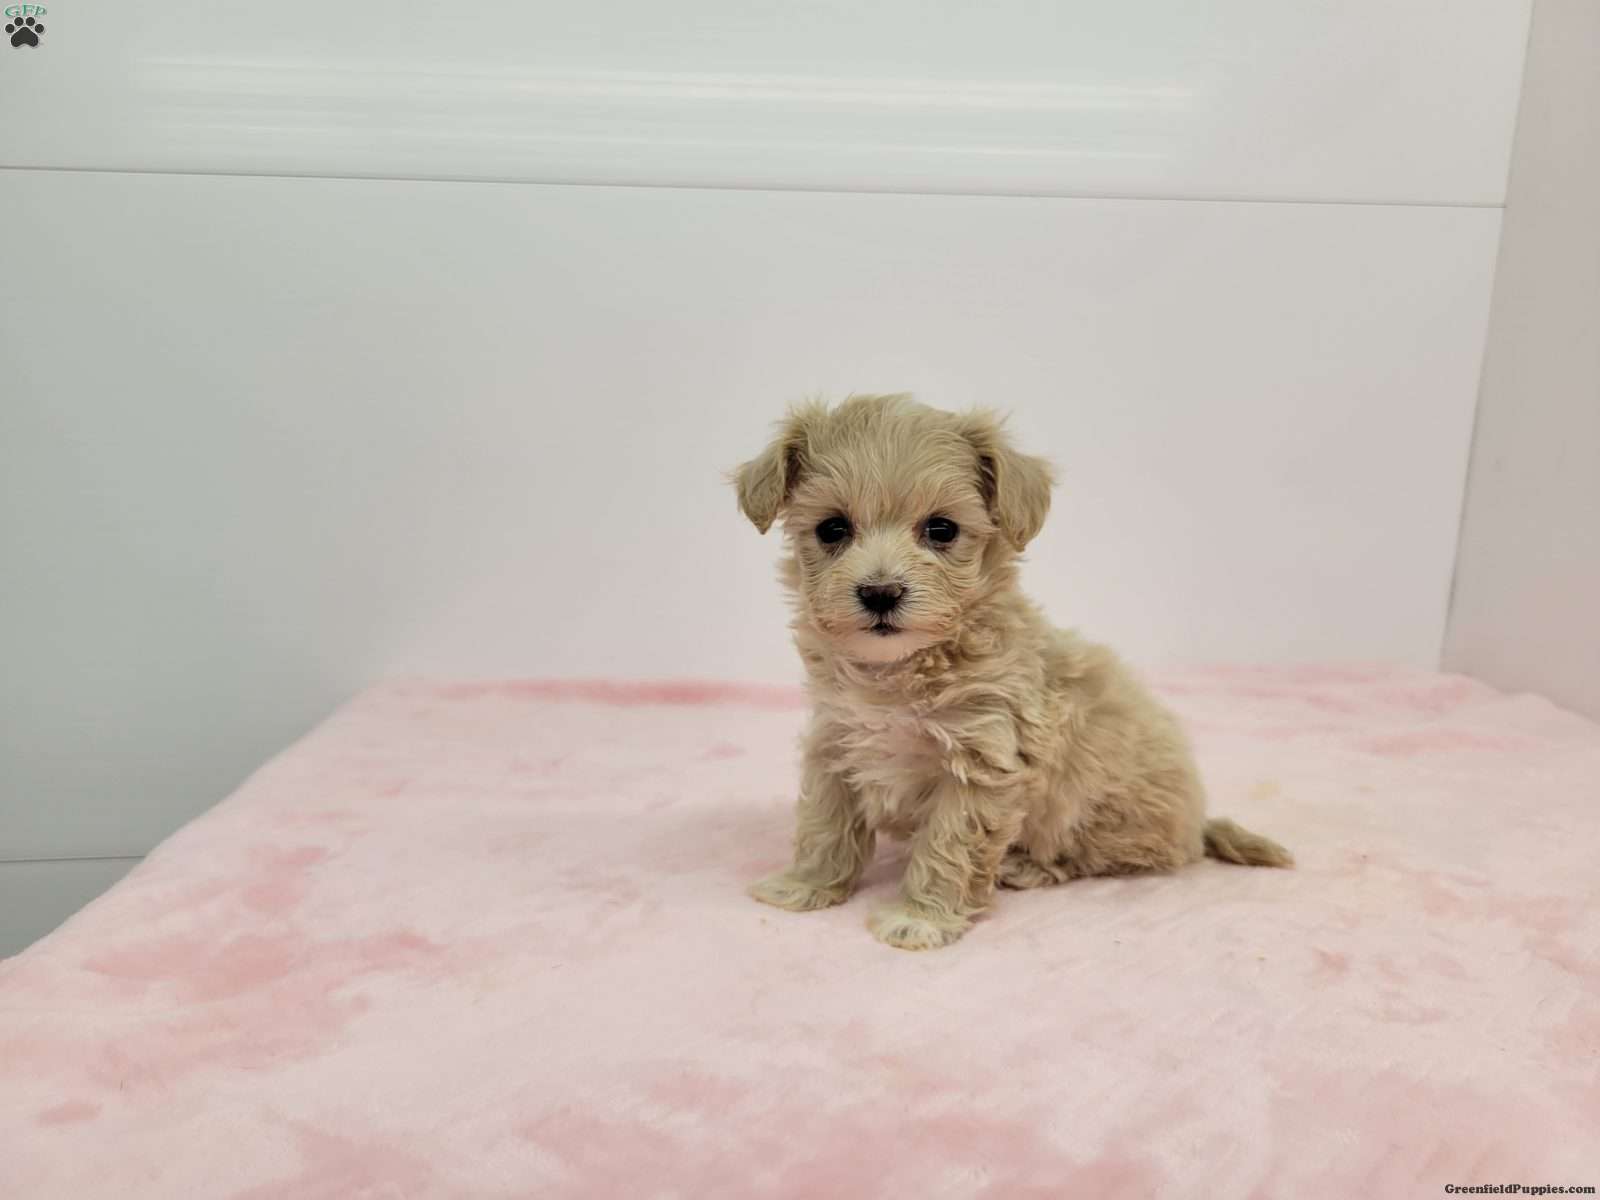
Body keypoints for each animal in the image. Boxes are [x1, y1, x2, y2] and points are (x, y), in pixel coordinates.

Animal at [733, 393, 1291, 950]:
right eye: (832, 528)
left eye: (941, 529)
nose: (880, 592)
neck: (902, 669)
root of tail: (1197, 822)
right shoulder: (836, 740)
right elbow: (825, 822)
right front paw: (804, 885)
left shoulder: (983, 761)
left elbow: (950, 847)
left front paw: (921, 917)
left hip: (1104, 813)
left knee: (1102, 856)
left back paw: (1027, 867)